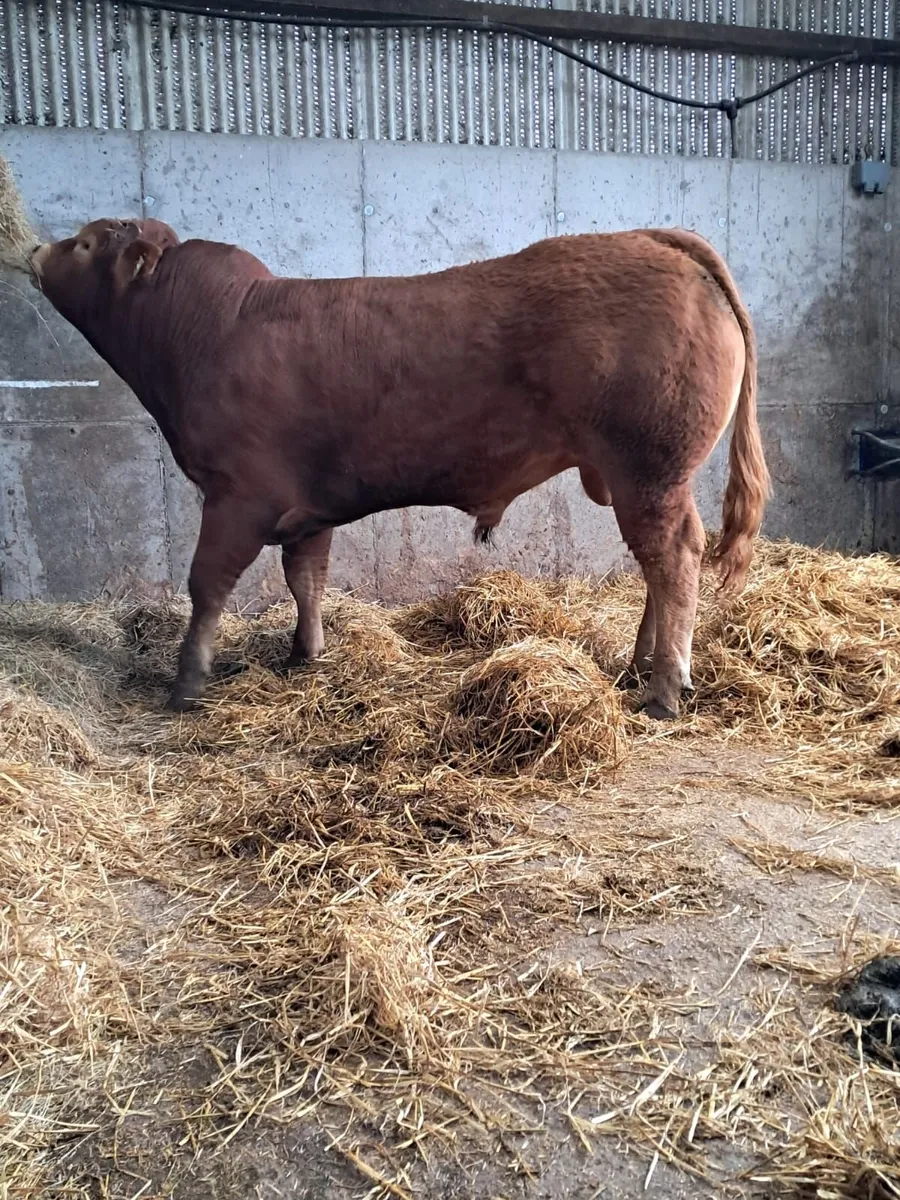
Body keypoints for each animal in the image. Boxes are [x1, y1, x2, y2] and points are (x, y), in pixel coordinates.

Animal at [29, 218, 769, 719]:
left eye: (87, 244)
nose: (34, 249)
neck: (205, 328)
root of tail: (654, 240)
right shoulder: (306, 508)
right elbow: (306, 578)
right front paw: (305, 655)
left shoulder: (237, 496)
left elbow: (207, 587)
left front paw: (186, 683)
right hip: (636, 477)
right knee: (657, 565)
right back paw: (641, 663)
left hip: (650, 470)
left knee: (675, 559)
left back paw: (665, 686)